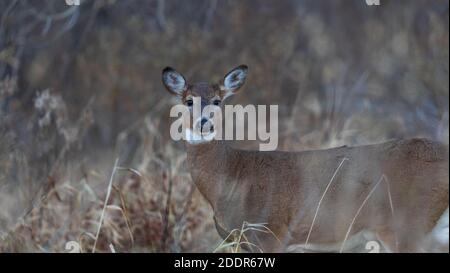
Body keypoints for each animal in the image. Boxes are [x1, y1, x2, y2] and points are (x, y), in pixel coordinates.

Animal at [163, 65, 450, 252]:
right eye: (188, 101)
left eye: (217, 101)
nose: (204, 123)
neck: (233, 177)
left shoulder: (272, 231)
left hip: (407, 223)